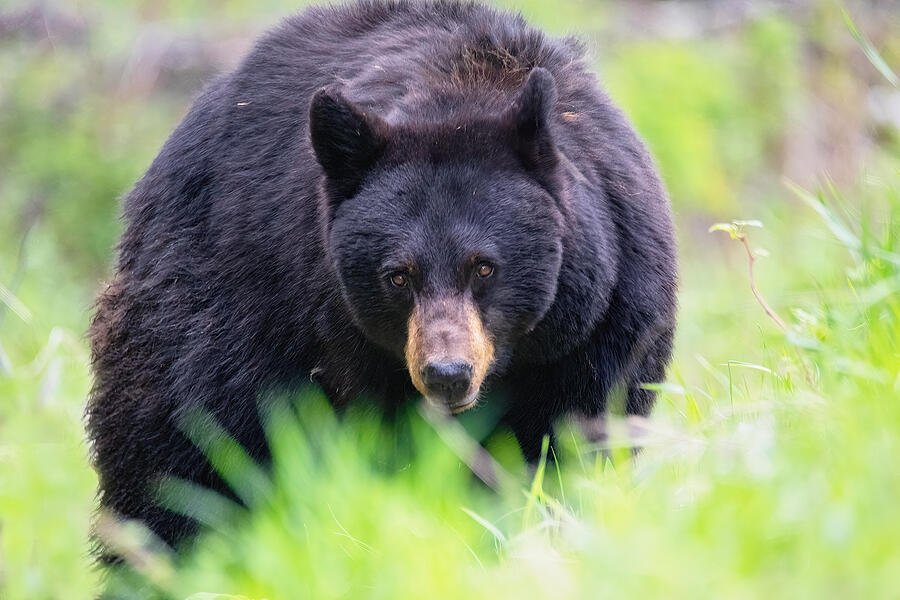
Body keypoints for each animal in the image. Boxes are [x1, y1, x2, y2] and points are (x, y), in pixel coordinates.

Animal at [86, 0, 676, 552]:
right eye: (397, 276)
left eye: (485, 266)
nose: (447, 374)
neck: (458, 93)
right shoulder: (334, 334)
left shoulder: (601, 324)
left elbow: (569, 442)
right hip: (211, 305)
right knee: (178, 447)